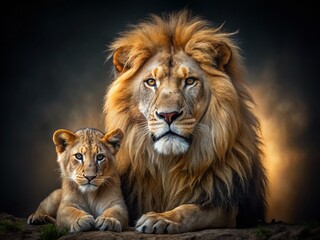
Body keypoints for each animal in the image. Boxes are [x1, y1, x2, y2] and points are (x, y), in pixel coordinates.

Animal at [104, 10, 266, 233]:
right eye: (151, 82)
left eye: (190, 81)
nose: (168, 115)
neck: (168, 164)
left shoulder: (226, 207)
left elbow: (191, 210)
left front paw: (161, 218)